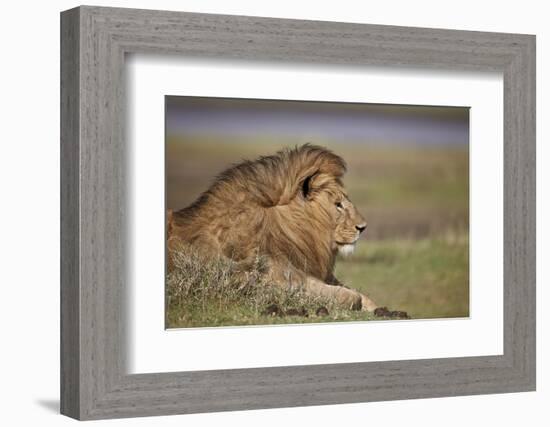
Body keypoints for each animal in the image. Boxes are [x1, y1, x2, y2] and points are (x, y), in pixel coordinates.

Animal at [168, 145, 382, 312]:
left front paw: (380, 309)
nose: (363, 227)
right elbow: (350, 296)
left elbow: (362, 295)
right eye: (338, 204)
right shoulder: (275, 279)